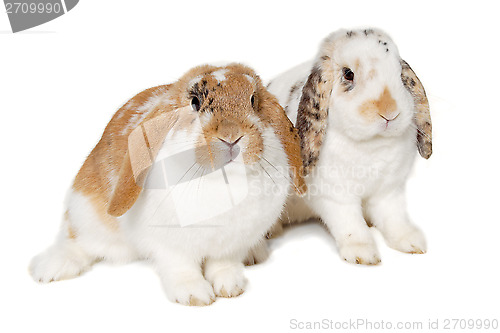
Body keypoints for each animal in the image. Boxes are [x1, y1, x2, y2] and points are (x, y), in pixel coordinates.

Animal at [30, 62, 308, 304]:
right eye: (195, 103)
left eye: (252, 100)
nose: (231, 136)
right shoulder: (170, 246)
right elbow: (181, 268)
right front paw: (195, 295)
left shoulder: (231, 244)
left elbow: (224, 264)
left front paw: (230, 287)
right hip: (84, 212)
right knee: (76, 241)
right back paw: (50, 269)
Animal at [268, 27, 432, 264]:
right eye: (348, 74)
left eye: (400, 74)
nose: (390, 112)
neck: (371, 144)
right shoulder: (336, 197)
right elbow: (350, 224)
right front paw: (363, 254)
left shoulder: (388, 192)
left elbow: (394, 217)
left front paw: (411, 242)